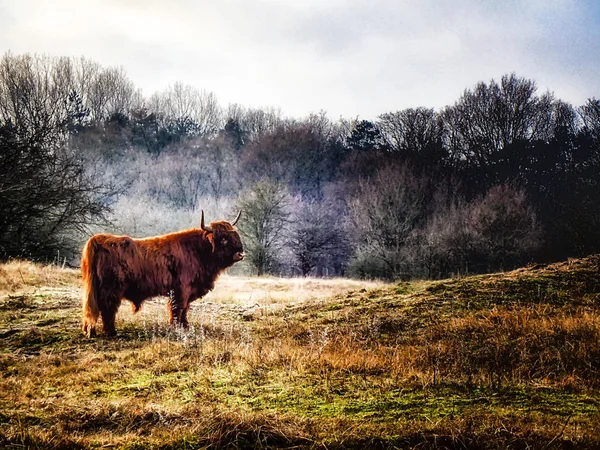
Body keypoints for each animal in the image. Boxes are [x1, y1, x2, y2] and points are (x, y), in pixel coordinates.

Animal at [81, 211, 243, 338]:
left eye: (236, 235)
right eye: (223, 238)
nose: (240, 253)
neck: (198, 250)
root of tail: (98, 239)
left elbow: (185, 309)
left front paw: (185, 327)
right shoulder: (181, 289)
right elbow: (178, 308)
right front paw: (177, 328)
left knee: (93, 307)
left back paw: (91, 331)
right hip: (111, 289)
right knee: (107, 308)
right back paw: (111, 332)